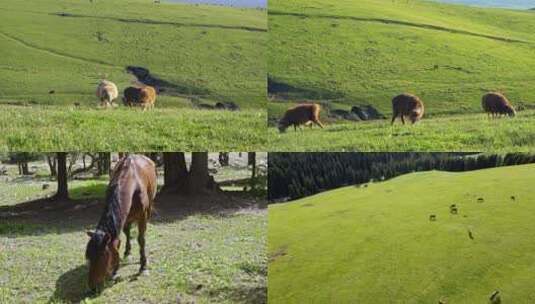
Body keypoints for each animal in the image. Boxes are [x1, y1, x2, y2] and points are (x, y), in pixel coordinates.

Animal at [85, 156, 157, 290]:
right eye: (89, 257)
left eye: (102, 257)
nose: (92, 287)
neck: (132, 181)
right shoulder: (123, 217)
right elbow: (122, 237)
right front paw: (122, 260)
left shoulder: (142, 217)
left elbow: (141, 239)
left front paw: (143, 266)